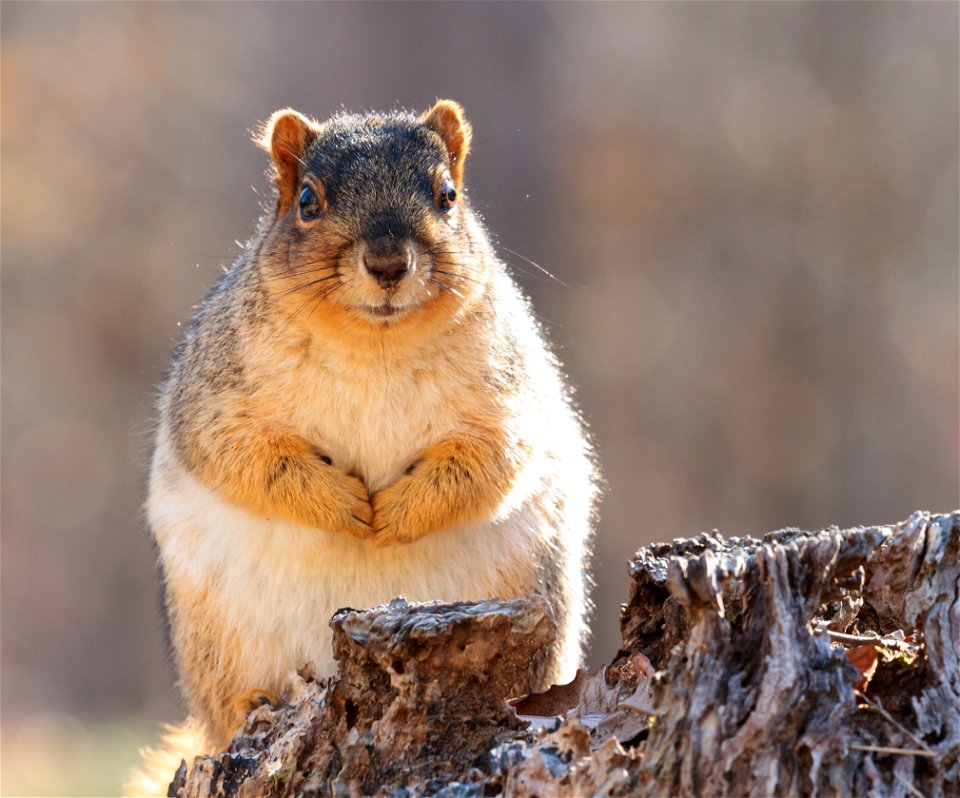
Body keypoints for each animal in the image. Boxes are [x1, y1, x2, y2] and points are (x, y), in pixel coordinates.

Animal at [131, 98, 596, 792]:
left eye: (448, 195)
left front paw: (393, 517)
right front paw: (345, 507)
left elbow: (492, 463)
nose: (387, 262)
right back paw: (251, 705)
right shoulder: (215, 395)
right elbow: (240, 456)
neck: (373, 345)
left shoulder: (511, 401)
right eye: (307, 201)